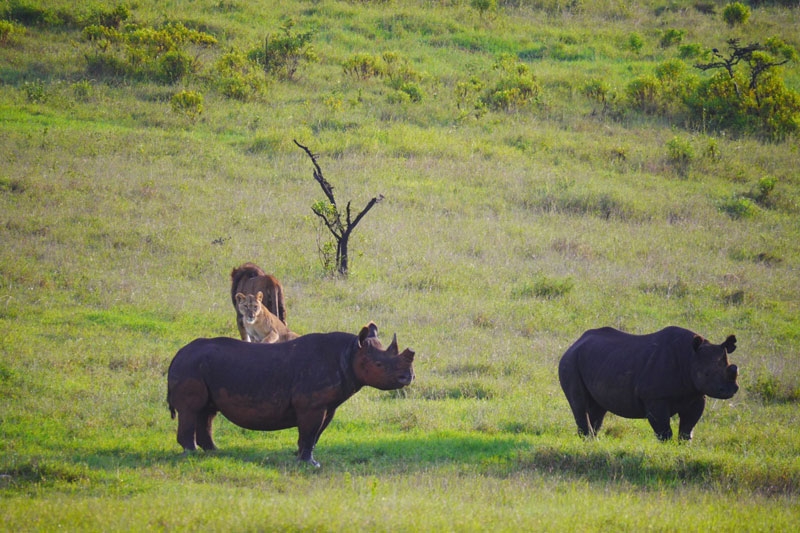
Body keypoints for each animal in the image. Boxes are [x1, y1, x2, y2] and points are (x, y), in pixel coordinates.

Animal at [166, 320, 416, 466]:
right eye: (379, 365)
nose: (409, 377)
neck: (351, 351)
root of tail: (177, 354)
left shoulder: (328, 405)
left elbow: (314, 435)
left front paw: (301, 458)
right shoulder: (311, 404)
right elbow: (309, 432)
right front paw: (309, 465)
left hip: (199, 367)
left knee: (207, 411)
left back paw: (214, 452)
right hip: (189, 367)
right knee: (191, 410)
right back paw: (192, 453)